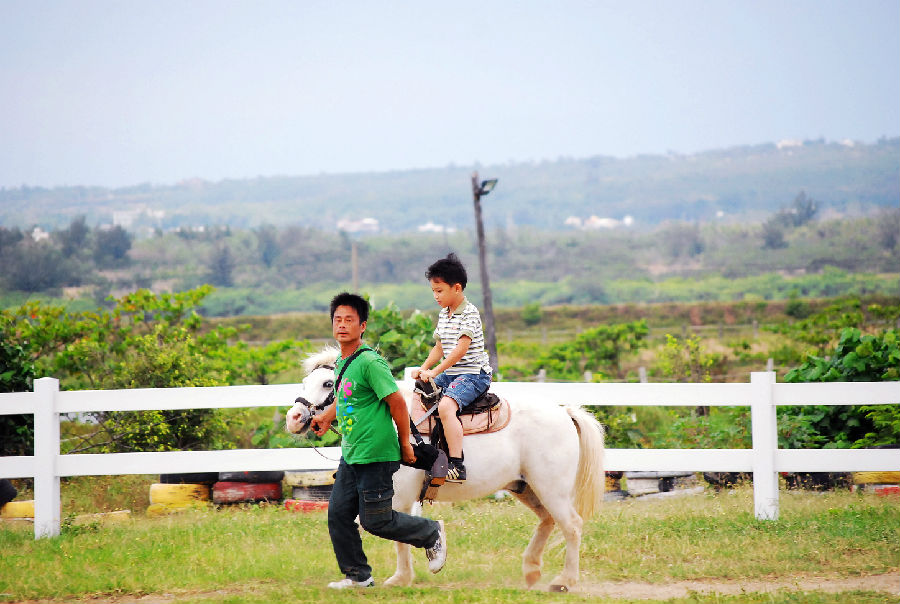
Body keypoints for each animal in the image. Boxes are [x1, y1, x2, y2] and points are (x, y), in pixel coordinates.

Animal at [284, 346, 600, 592]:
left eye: (328, 384)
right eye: (304, 381)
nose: (294, 418)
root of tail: (564, 412)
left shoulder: (398, 497)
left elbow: (393, 533)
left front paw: (401, 577)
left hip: (551, 488)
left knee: (571, 525)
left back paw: (565, 581)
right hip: (526, 487)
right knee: (548, 521)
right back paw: (532, 570)